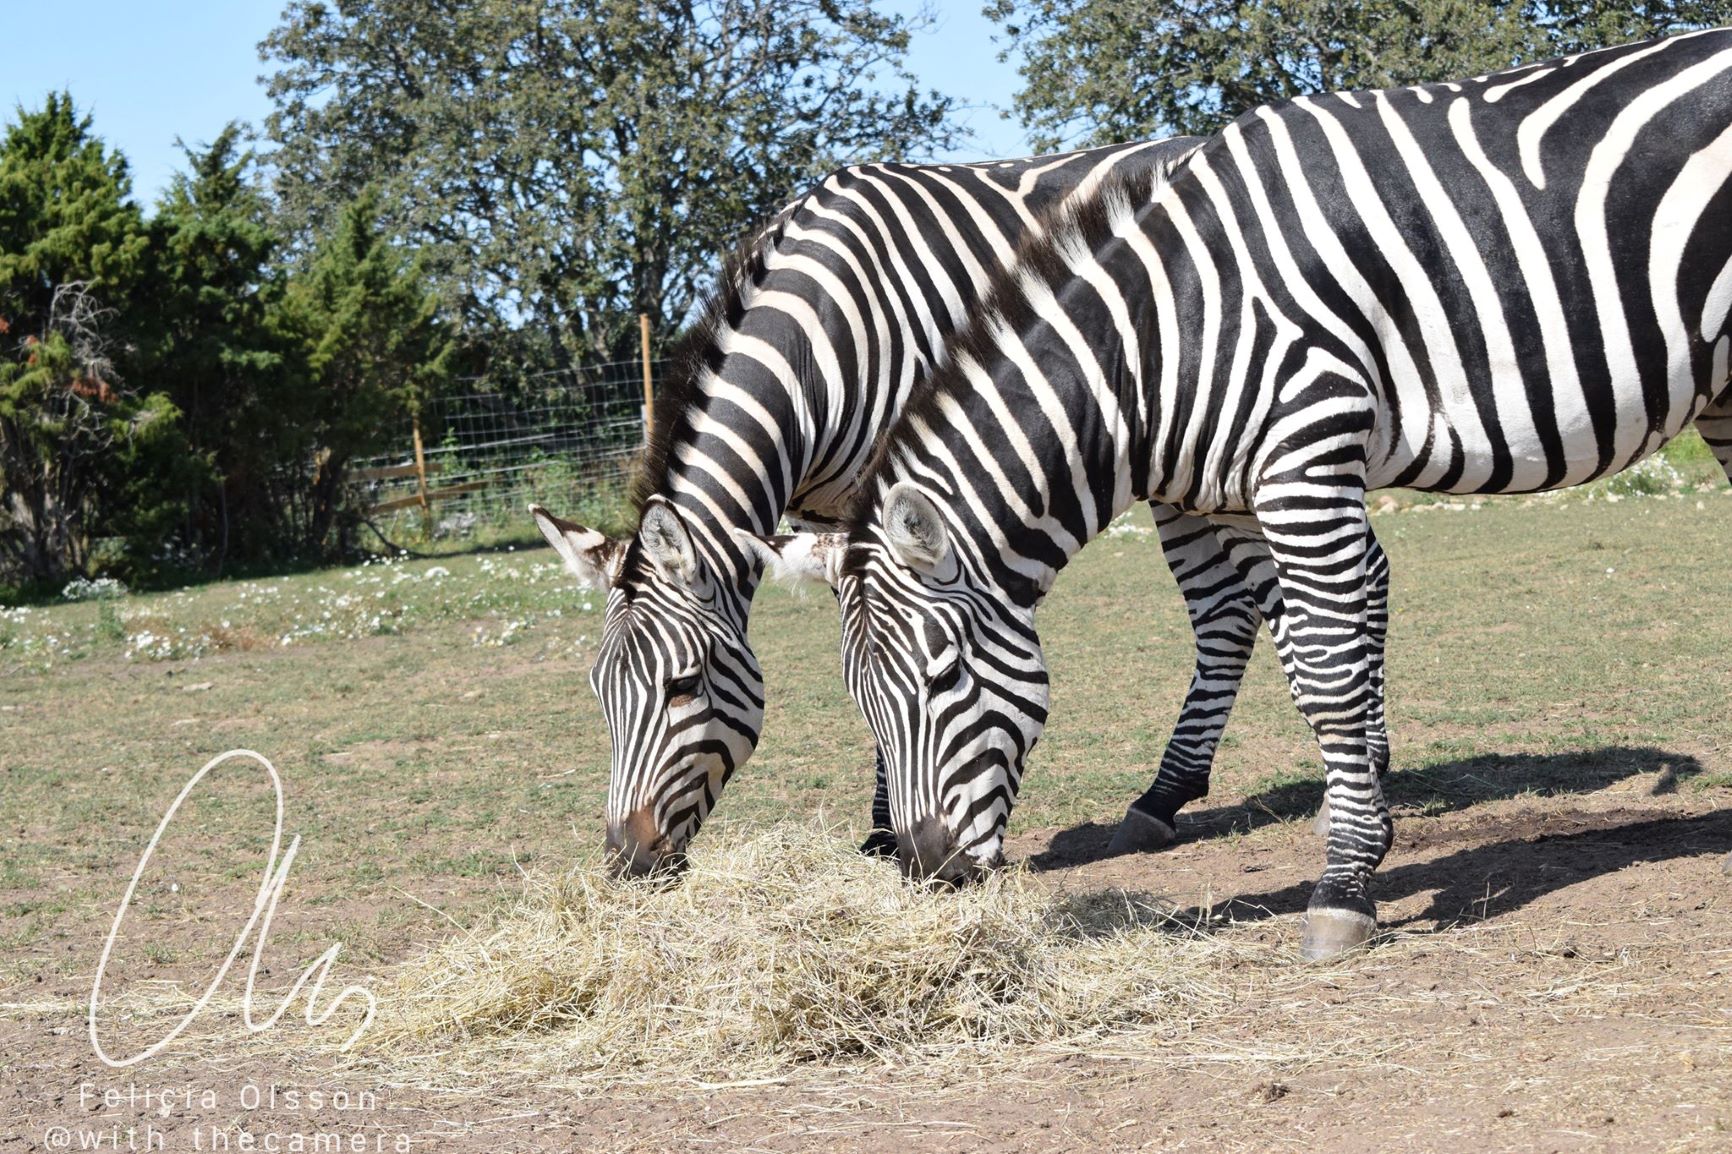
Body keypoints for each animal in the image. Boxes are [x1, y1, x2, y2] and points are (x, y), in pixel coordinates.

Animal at [529, 132, 1364, 873]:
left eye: (683, 686)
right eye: (599, 692)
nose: (628, 860)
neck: (822, 338)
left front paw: (887, 828)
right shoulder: (824, 518)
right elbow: (871, 646)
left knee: (1240, 607)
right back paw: (1178, 795)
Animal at [751, 31, 1732, 956]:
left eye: (945, 675)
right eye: (861, 703)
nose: (928, 871)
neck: (1164, 336)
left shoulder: (1306, 452)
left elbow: (1329, 672)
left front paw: (1344, 887)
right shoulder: (1238, 489)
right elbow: (1302, 650)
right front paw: (1355, 816)